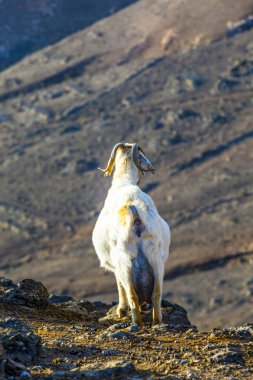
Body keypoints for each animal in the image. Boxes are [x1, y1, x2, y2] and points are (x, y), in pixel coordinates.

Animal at [92, 143, 171, 326]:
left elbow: (119, 286)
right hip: (156, 260)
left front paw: (121, 310)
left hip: (124, 262)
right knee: (156, 294)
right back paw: (156, 322)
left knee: (132, 294)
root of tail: (136, 219)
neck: (124, 184)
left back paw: (137, 322)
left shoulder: (115, 266)